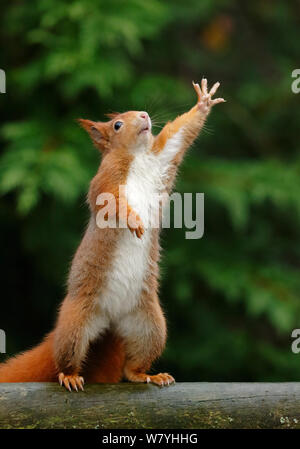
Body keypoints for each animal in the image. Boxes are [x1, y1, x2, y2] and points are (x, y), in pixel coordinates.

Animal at [0, 79, 225, 388]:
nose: (144, 115)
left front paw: (203, 102)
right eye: (117, 125)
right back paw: (70, 375)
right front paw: (133, 220)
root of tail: (112, 321)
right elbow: (111, 203)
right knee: (66, 355)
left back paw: (147, 374)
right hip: (76, 323)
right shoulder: (105, 181)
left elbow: (180, 135)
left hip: (149, 324)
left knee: (132, 366)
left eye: (138, 112)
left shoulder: (163, 158)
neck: (136, 157)